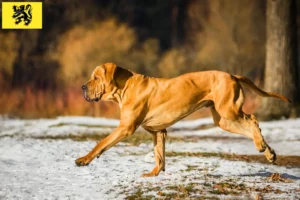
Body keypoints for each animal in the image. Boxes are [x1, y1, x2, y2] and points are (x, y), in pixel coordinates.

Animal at [75, 62, 290, 177]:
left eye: (95, 78)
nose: (82, 87)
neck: (125, 87)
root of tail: (232, 75)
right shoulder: (158, 131)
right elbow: (159, 155)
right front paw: (154, 174)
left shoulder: (125, 127)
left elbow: (101, 143)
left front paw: (84, 159)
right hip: (223, 119)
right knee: (250, 124)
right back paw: (268, 152)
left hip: (229, 110)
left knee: (252, 119)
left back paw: (262, 145)